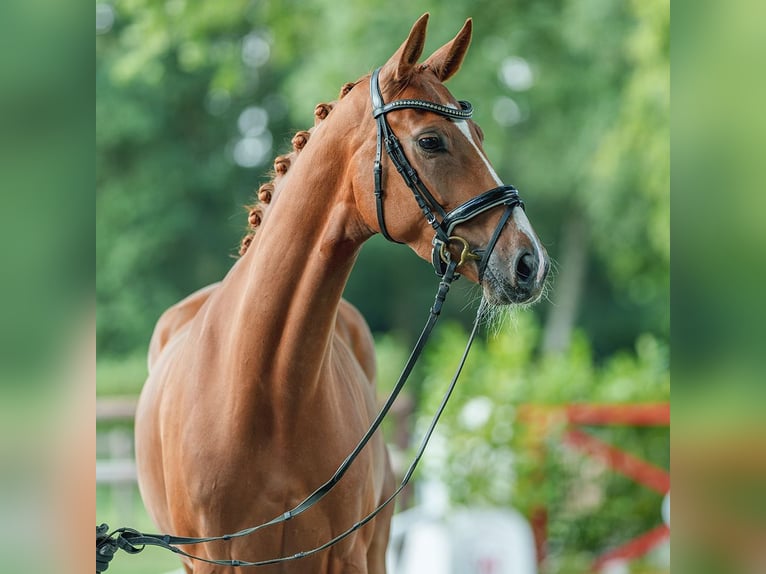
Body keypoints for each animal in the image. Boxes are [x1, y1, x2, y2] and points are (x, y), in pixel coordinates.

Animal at [135, 14, 548, 574]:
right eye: (432, 141)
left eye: (480, 135)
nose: (530, 262)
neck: (264, 389)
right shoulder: (213, 562)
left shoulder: (347, 555)